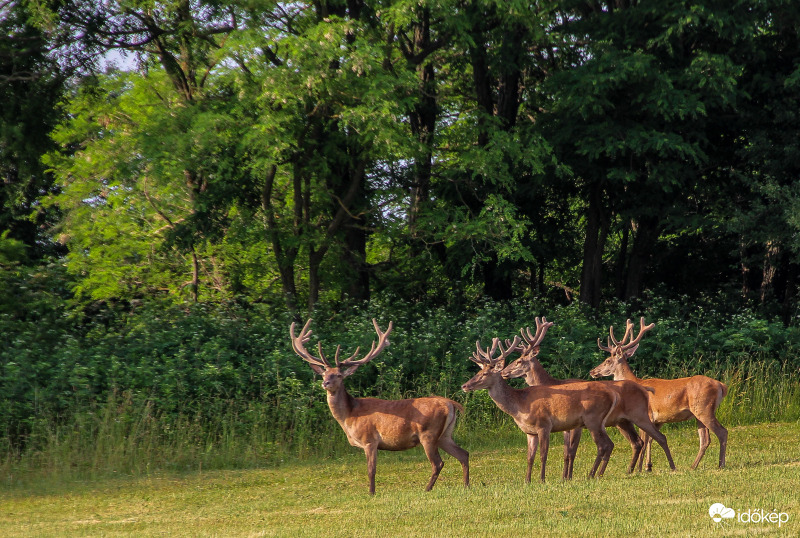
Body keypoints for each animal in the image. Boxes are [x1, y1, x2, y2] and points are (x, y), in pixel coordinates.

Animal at [290, 318, 468, 494]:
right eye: (324, 374)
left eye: (339, 375)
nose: (325, 383)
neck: (349, 416)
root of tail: (451, 404)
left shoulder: (369, 440)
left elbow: (371, 470)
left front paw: (371, 493)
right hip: (445, 435)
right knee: (463, 454)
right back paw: (466, 485)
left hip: (428, 433)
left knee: (438, 463)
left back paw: (427, 489)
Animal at [462, 336, 620, 482]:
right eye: (477, 373)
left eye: (485, 374)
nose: (464, 385)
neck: (519, 405)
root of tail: (612, 394)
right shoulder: (530, 432)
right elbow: (530, 457)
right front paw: (527, 481)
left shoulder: (544, 425)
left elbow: (543, 455)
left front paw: (542, 480)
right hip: (598, 422)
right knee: (609, 444)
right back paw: (597, 474)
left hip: (592, 419)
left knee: (603, 445)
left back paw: (592, 475)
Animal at [506, 316, 676, 476]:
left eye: (519, 361)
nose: (504, 371)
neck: (553, 383)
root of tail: (643, 388)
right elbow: (566, 453)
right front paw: (565, 477)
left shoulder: (576, 426)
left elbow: (571, 452)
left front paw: (567, 477)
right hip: (622, 421)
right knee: (638, 442)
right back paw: (630, 470)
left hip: (638, 416)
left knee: (655, 437)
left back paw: (667, 467)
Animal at [592, 318, 728, 468]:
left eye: (607, 361)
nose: (592, 371)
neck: (635, 381)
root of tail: (721, 385)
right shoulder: (658, 420)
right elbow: (651, 440)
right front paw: (648, 466)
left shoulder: (647, 414)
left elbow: (645, 441)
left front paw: (640, 467)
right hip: (699, 413)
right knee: (705, 439)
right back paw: (693, 466)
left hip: (704, 408)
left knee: (722, 432)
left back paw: (721, 464)